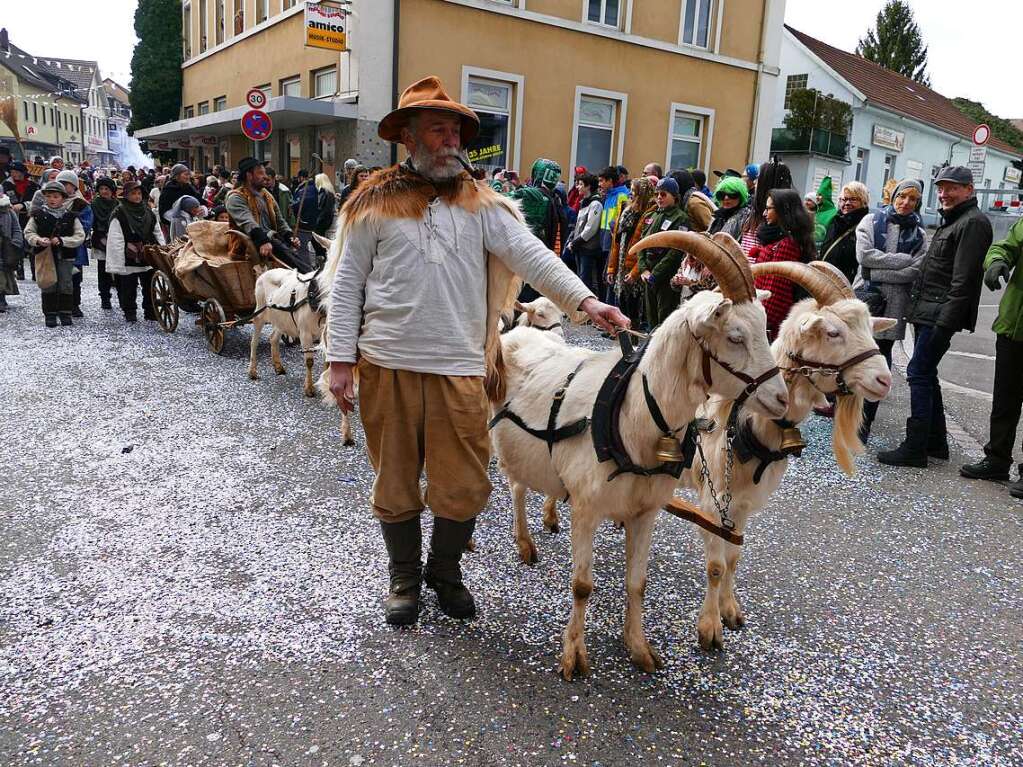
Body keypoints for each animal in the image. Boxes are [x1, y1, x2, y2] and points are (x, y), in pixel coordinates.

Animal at [488, 233, 789, 679]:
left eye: (765, 329)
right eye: (735, 336)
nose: (782, 400)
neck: (630, 414)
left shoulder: (646, 511)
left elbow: (637, 583)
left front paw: (640, 649)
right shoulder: (588, 508)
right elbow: (582, 585)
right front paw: (574, 656)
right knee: (514, 486)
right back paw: (523, 544)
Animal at [679, 261, 896, 650]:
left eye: (871, 329)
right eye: (833, 332)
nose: (884, 380)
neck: (744, 419)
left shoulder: (743, 502)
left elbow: (733, 557)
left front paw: (730, 611)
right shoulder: (711, 499)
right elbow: (715, 565)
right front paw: (709, 629)